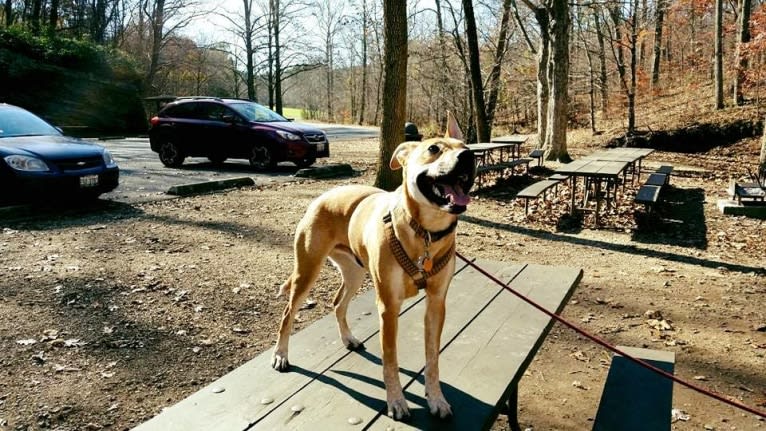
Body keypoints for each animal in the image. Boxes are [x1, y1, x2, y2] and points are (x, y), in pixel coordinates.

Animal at [272, 115, 476, 422]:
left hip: (355, 272)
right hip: (307, 271)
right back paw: (281, 355)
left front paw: (436, 398)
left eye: (465, 147)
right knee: (288, 313)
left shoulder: (436, 303)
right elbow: (390, 359)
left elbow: (432, 358)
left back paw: (349, 339)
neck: (425, 232)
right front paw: (396, 401)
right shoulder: (389, 307)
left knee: (338, 303)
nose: (468, 157)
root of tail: (324, 195)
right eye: (434, 149)